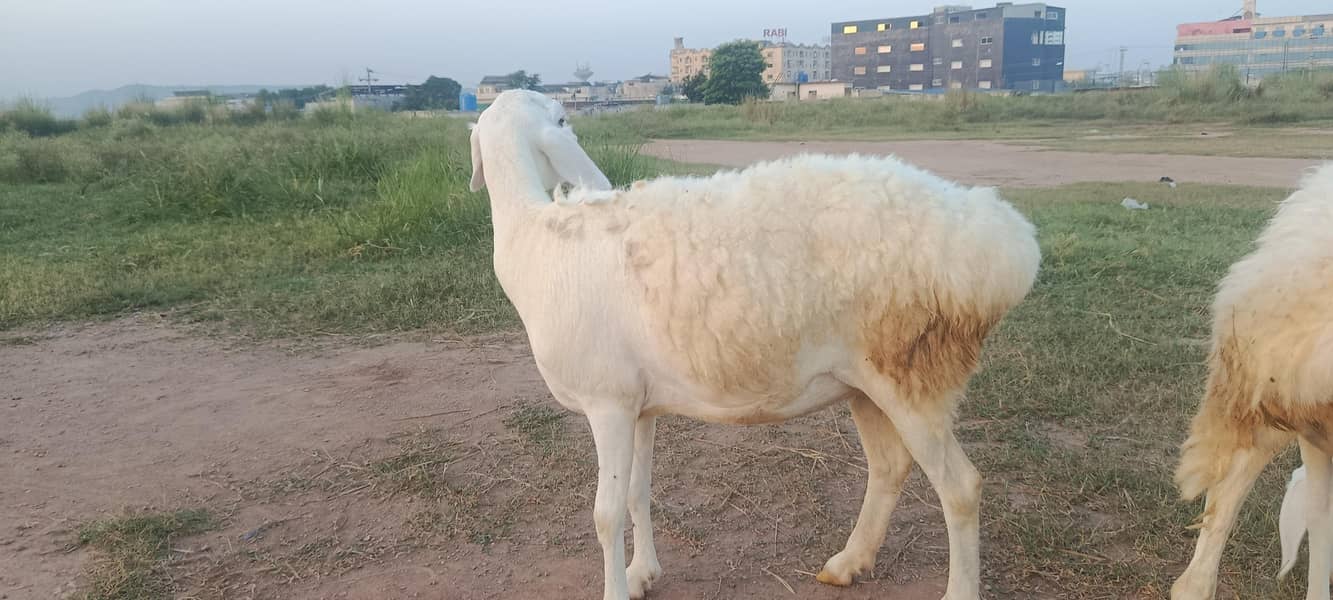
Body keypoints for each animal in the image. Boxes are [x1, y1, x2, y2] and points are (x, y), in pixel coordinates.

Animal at [468, 89, 1041, 600]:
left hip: (914, 372)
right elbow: (636, 492)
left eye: (564, 118)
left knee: (961, 488)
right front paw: (642, 574)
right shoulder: (637, 403)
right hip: (867, 380)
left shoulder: (606, 401)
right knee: (889, 467)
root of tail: (1003, 243)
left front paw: (617, 588)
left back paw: (956, 589)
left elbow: (605, 514)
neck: (532, 238)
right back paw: (848, 563)